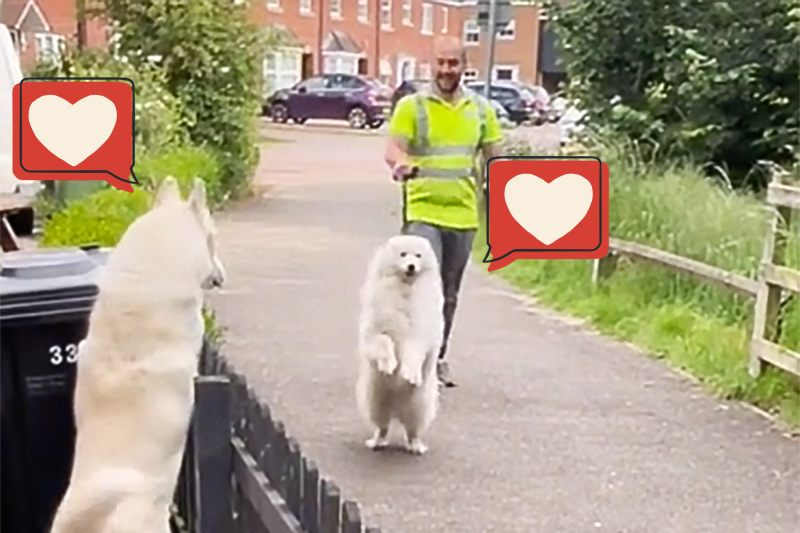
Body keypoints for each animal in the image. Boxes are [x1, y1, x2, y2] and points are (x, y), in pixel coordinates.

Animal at [356, 235, 444, 456]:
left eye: (418, 255)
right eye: (403, 254)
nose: (411, 266)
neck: (405, 290)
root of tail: (396, 410)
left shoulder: (419, 334)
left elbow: (414, 352)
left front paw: (410, 374)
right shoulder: (375, 331)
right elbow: (383, 342)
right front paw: (388, 364)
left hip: (418, 407)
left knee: (413, 431)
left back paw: (416, 446)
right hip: (375, 402)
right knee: (382, 427)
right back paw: (376, 442)